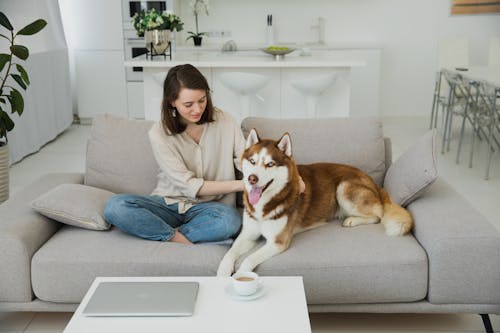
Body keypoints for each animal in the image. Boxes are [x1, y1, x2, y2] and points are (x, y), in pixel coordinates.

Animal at [217, 127, 412, 274]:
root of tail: (373, 182)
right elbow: (230, 252)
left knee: (378, 214)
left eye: (270, 164)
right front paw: (222, 272)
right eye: (252, 161)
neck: (265, 205)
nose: (252, 178)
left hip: (343, 188)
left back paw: (352, 220)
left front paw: (241, 275)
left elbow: (249, 260)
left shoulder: (278, 242)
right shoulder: (247, 234)